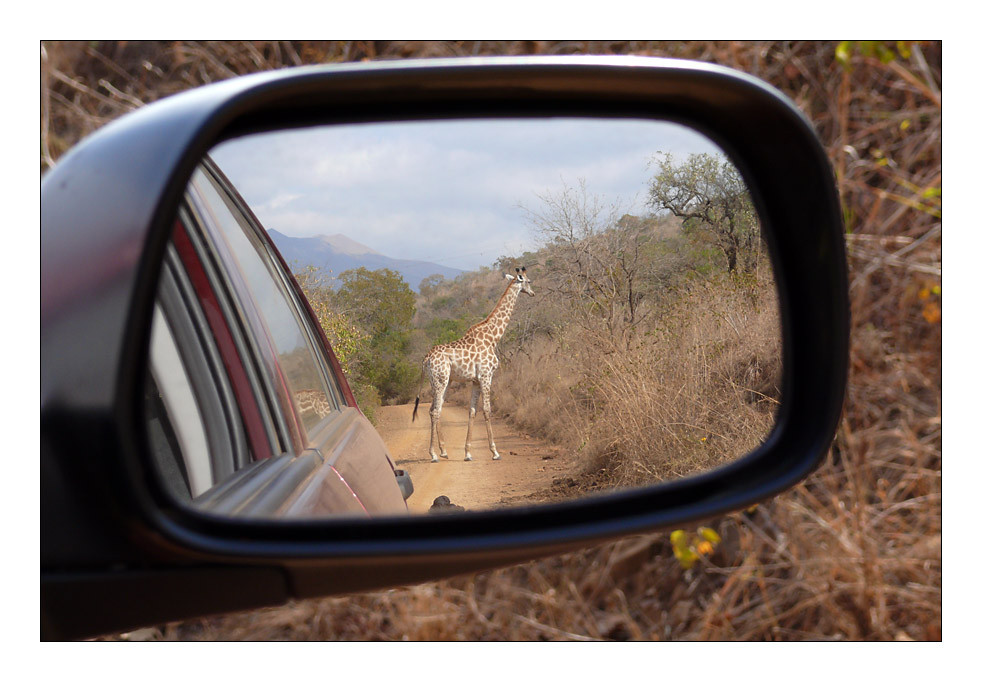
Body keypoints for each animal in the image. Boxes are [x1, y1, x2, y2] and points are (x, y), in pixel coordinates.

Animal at [416, 266, 540, 462]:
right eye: (528, 281)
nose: (533, 293)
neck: (493, 337)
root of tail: (426, 359)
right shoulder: (486, 376)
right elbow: (487, 410)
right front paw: (495, 452)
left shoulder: (475, 380)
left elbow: (472, 412)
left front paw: (468, 453)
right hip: (440, 380)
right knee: (435, 411)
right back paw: (434, 454)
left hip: (442, 381)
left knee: (433, 409)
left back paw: (443, 451)